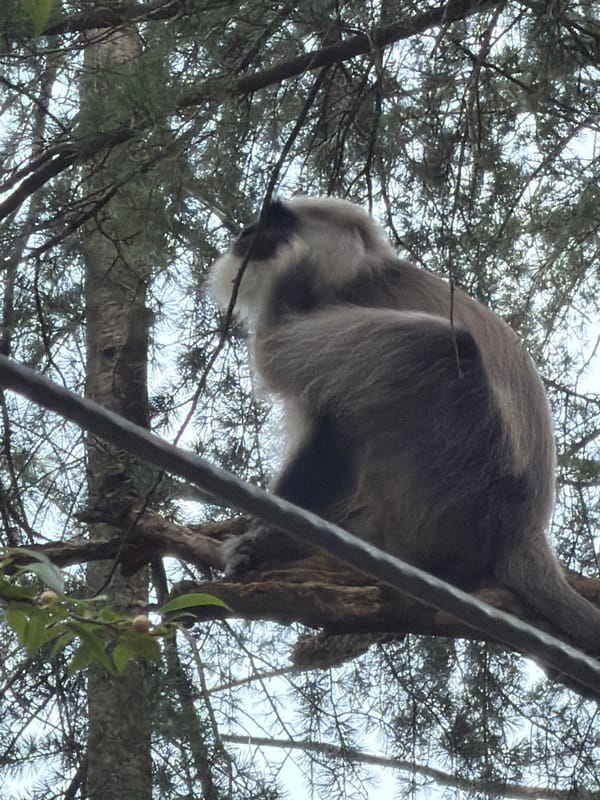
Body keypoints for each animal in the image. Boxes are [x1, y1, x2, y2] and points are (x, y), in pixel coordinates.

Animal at [207, 195, 600, 651]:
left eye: (275, 222)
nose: (247, 231)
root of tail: (522, 532)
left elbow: (334, 435)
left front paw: (267, 540)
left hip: (465, 467)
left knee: (443, 345)